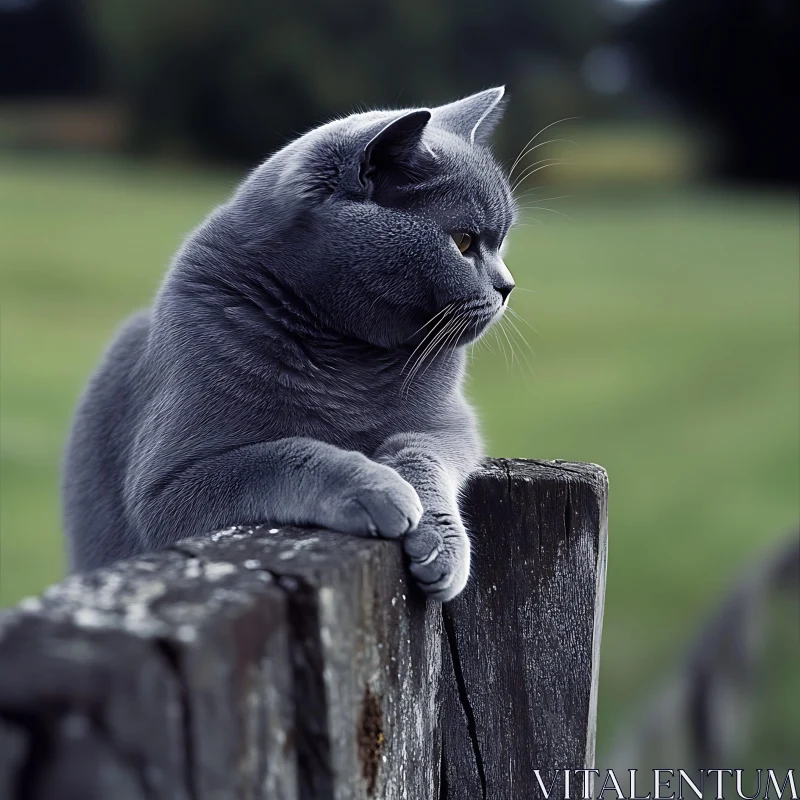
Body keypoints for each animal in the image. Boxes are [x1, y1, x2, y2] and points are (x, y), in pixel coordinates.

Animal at [61, 87, 520, 600]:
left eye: (500, 243)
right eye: (462, 242)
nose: (507, 286)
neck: (347, 354)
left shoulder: (449, 424)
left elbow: (420, 450)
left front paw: (439, 543)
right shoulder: (166, 487)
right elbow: (279, 455)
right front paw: (376, 488)